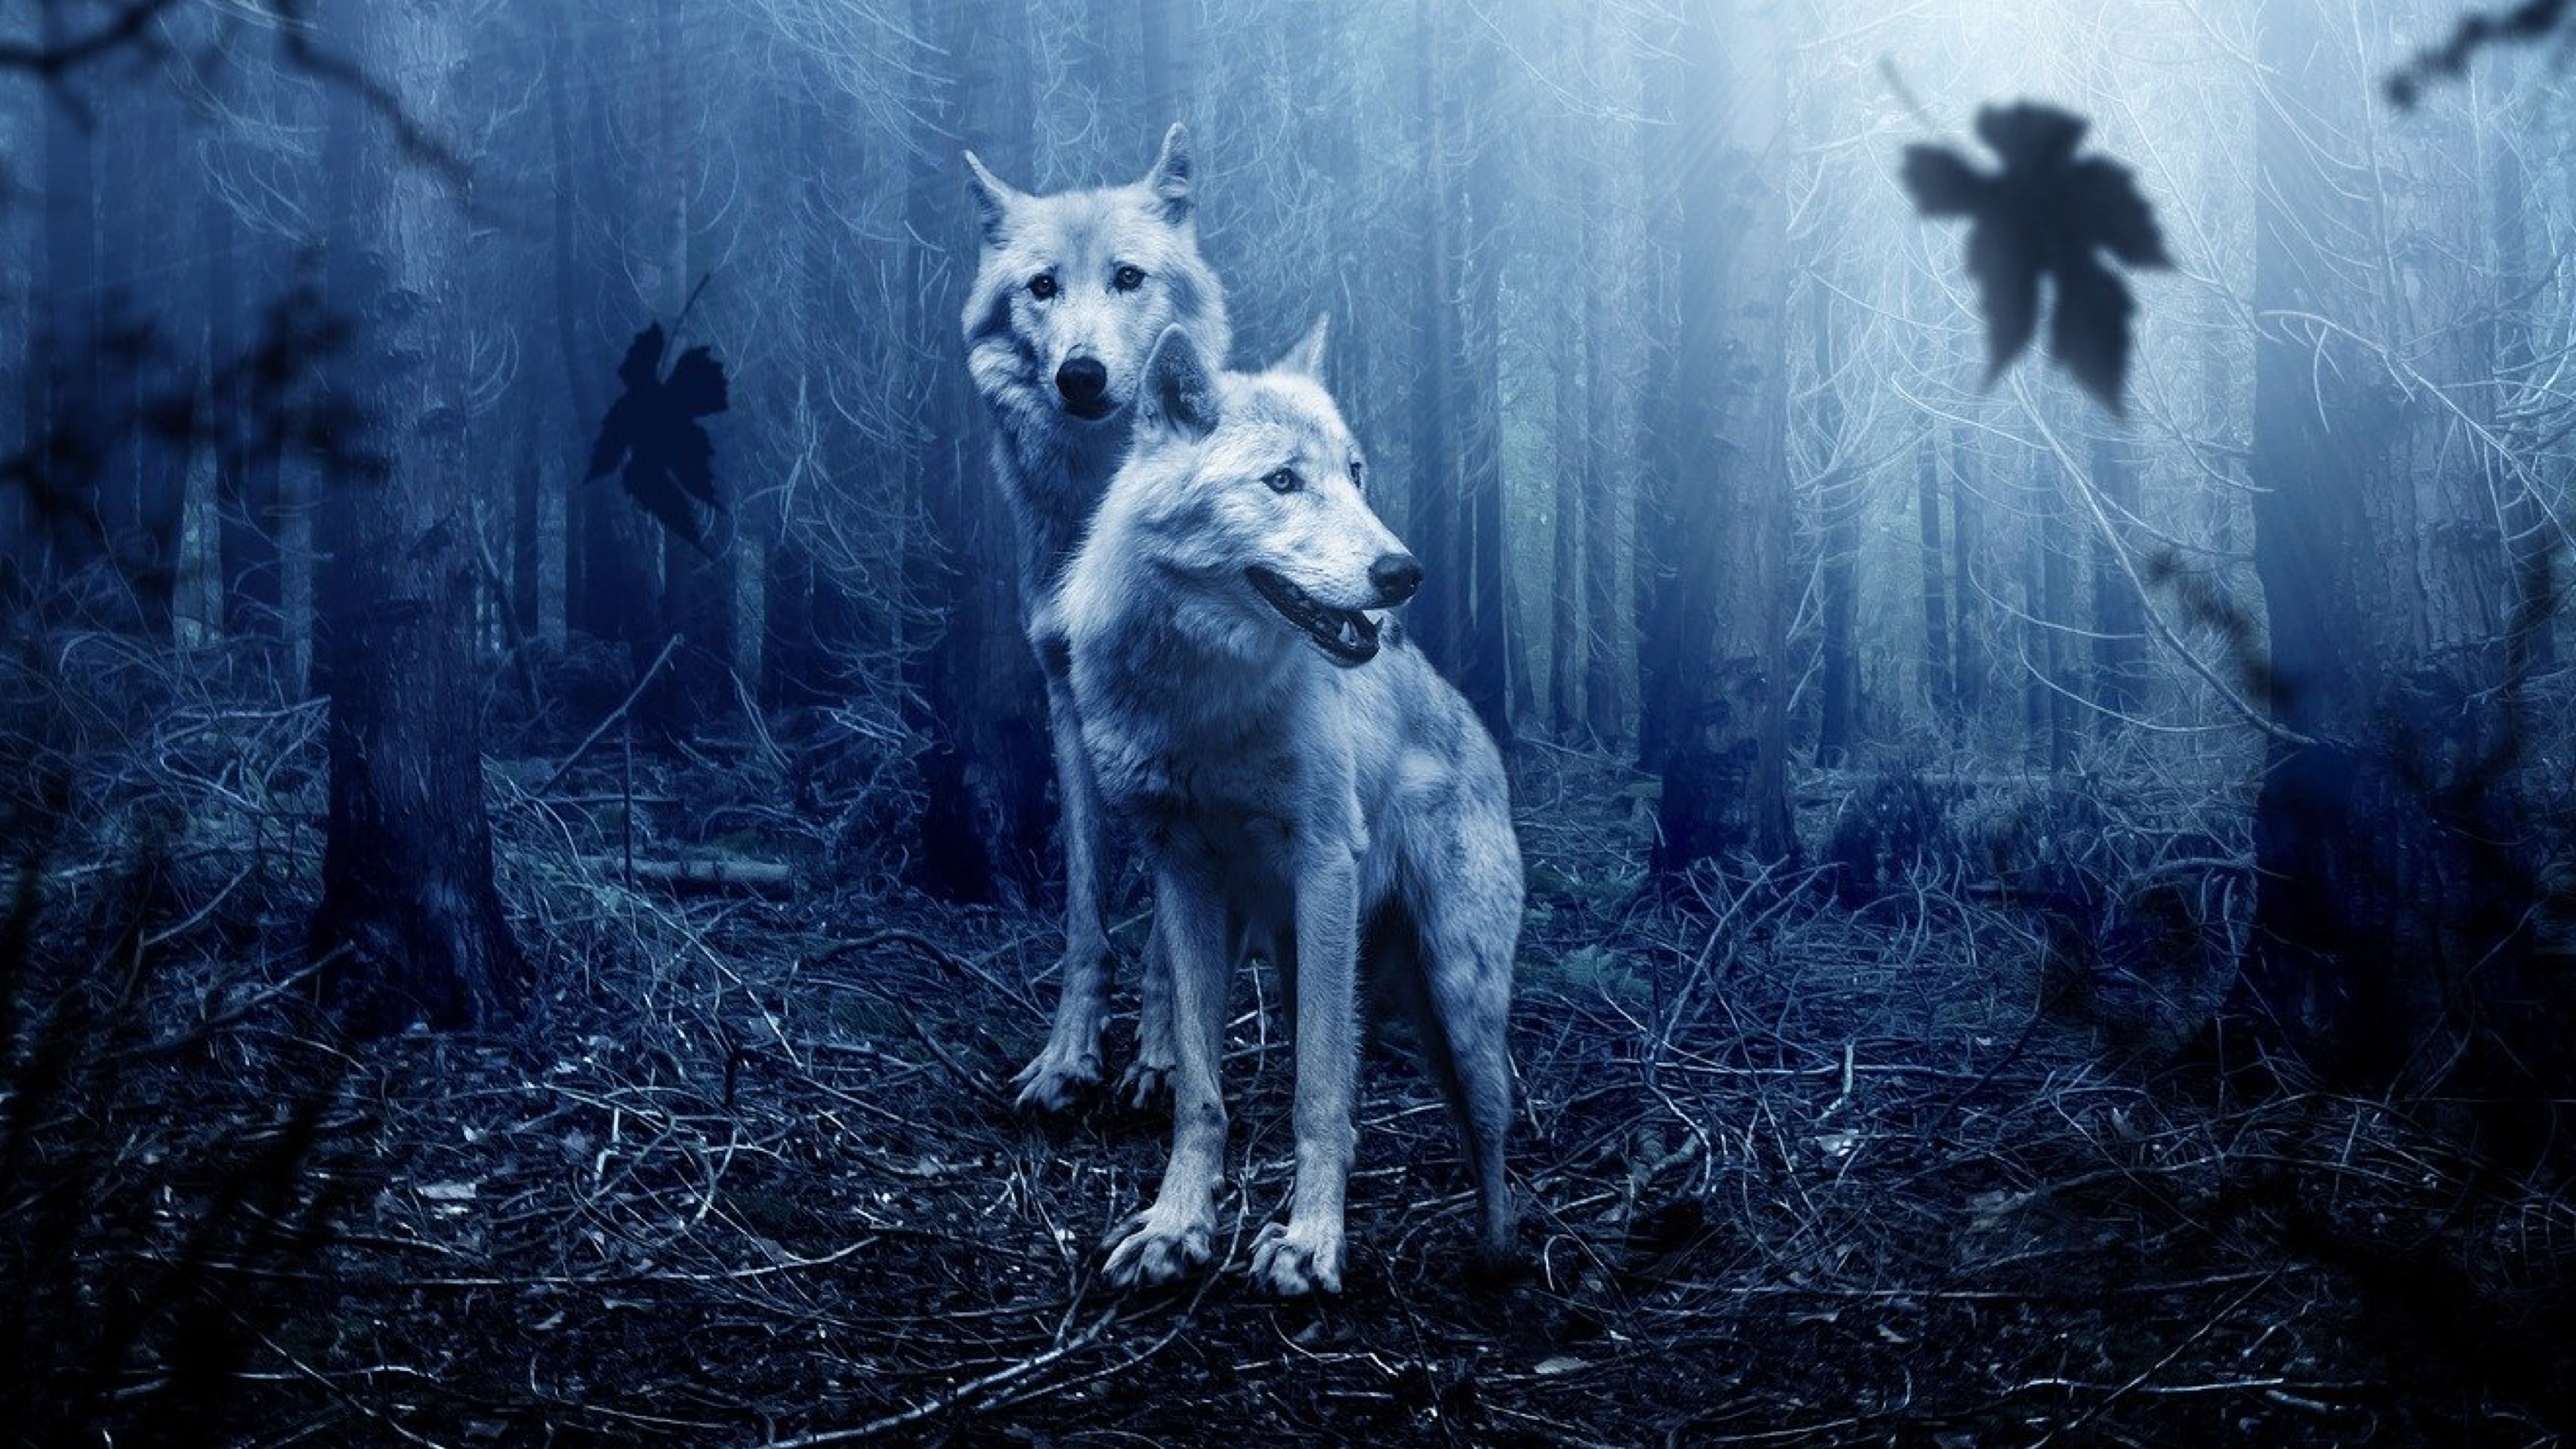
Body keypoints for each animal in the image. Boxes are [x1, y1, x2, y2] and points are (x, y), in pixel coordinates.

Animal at [961, 125, 1232, 1112]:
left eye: (1127, 277)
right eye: (1043, 285)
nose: (1081, 375)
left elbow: (1168, 934)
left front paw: (1161, 1061)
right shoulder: (1067, 705)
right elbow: (1085, 913)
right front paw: (1067, 1058)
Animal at [1049, 320, 1522, 1294]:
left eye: (1356, 473)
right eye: (1282, 482)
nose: (1404, 573)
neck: (1201, 701)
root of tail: (1478, 730)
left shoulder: (1323, 863)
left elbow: (1316, 1098)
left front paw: (1310, 1244)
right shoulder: (1182, 874)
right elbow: (1200, 1089)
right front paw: (1176, 1228)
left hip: (1458, 994)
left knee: (1490, 1128)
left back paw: (1495, 1260)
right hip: (1313, 959)